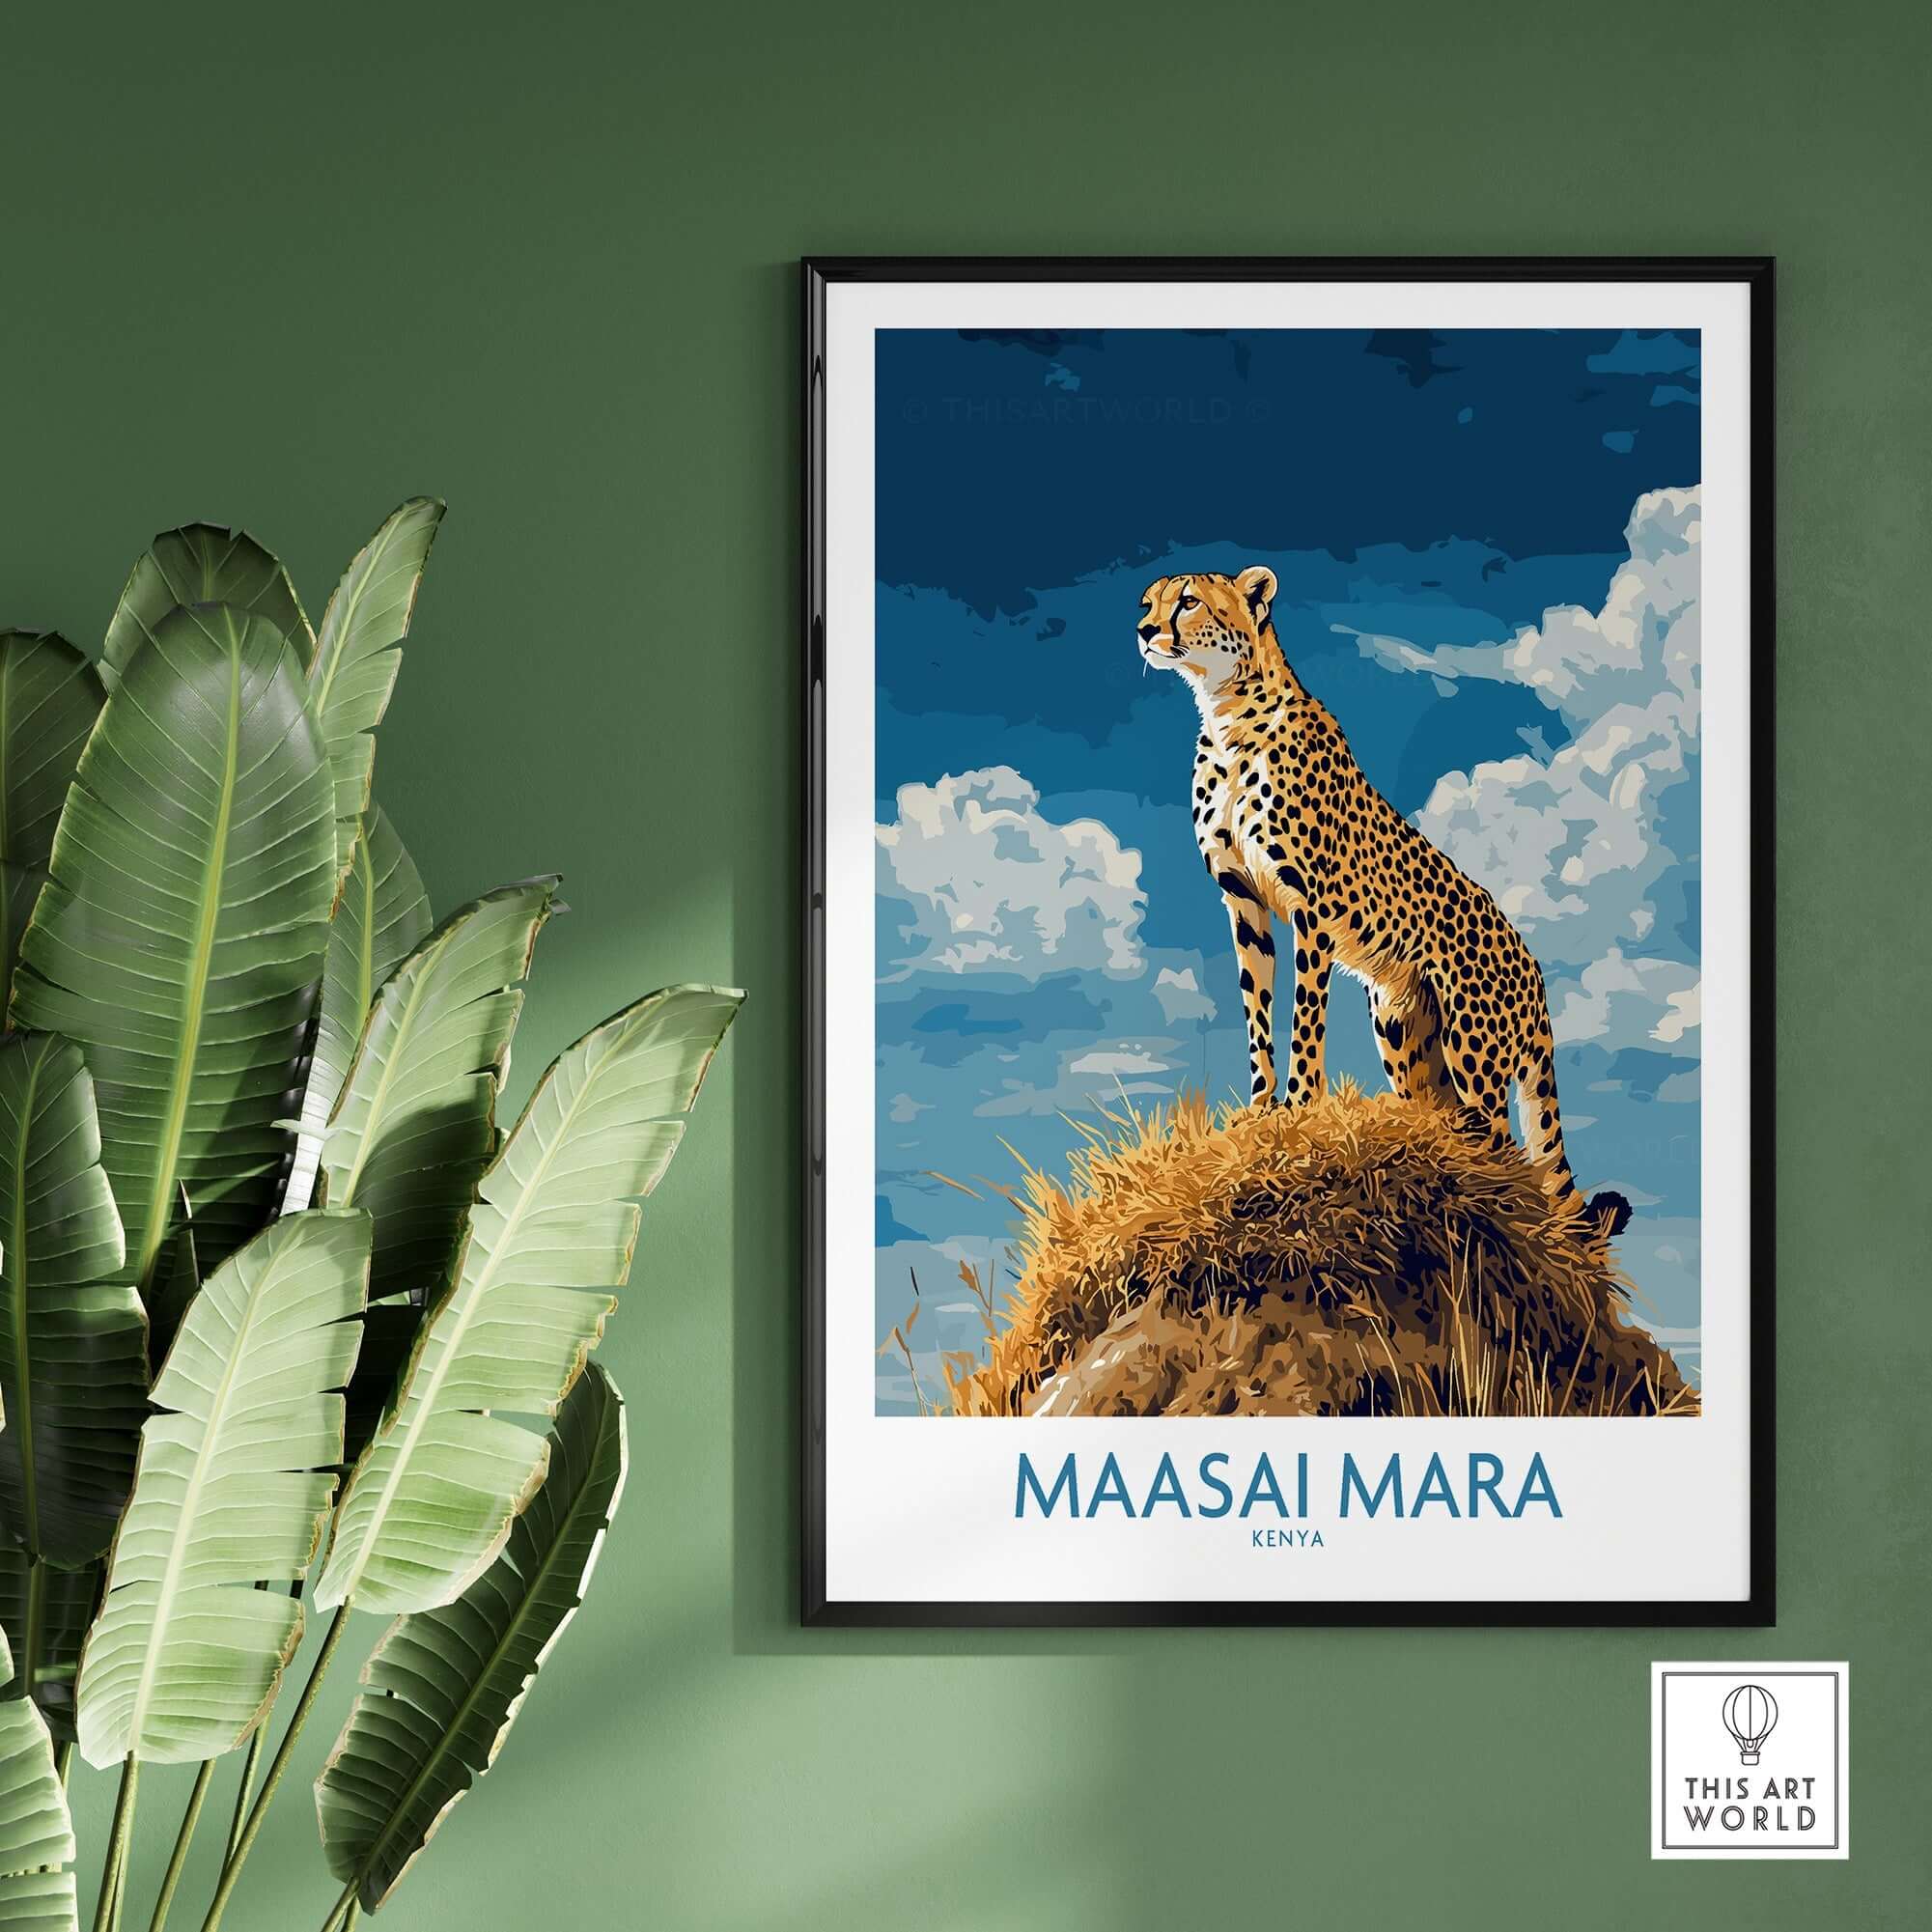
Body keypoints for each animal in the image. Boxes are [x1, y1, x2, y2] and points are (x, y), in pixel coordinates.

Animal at [1138, 565, 1629, 1238]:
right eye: (1147, 602)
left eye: (1187, 602)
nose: (1143, 632)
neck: (1227, 715)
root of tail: (1535, 971)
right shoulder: (1243, 903)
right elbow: (1258, 1013)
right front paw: (1260, 1109)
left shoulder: (1312, 907)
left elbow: (1305, 1018)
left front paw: (1300, 1107)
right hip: (1405, 1037)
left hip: (1473, 1051)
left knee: (1507, 1149)